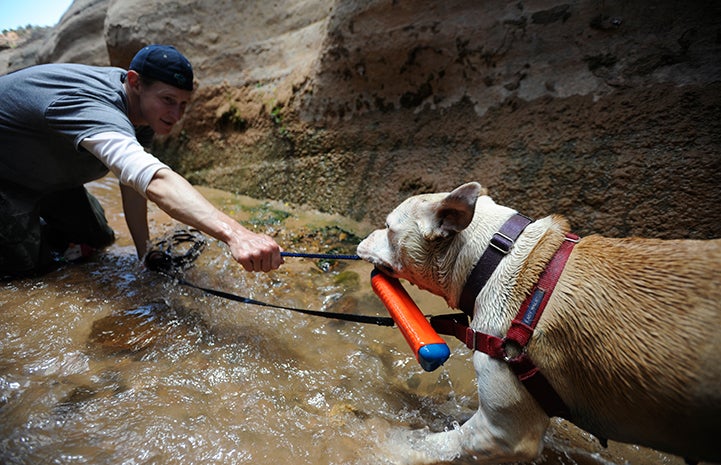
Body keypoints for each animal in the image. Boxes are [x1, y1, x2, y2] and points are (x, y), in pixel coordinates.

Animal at [356, 182, 720, 464]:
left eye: (388, 227)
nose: (363, 239)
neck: (493, 259)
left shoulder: (502, 433)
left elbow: (440, 442)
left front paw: (392, 443)